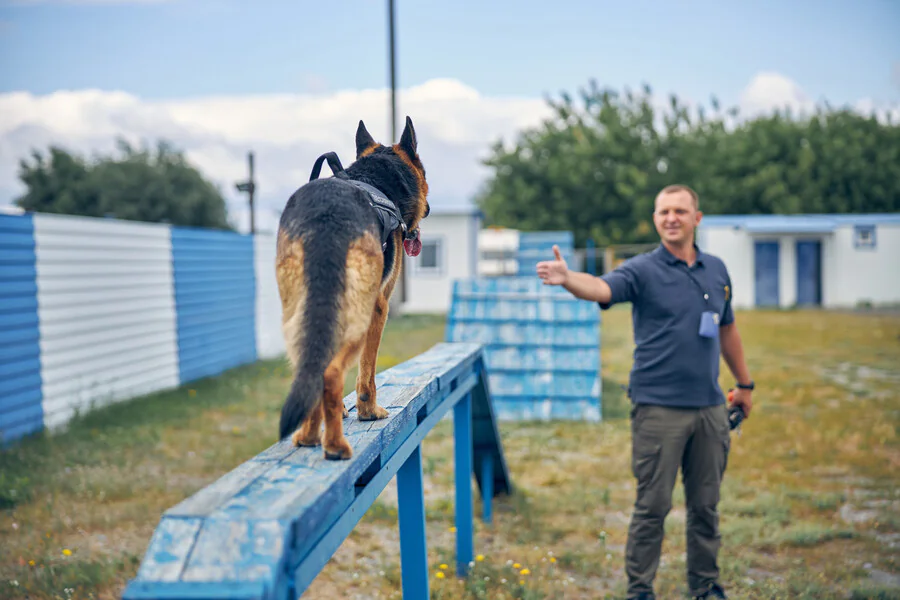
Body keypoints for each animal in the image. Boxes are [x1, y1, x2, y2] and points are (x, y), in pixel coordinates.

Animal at [274, 118, 428, 464]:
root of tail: (325, 215)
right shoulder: (379, 308)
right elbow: (367, 374)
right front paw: (368, 411)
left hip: (299, 315)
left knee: (308, 371)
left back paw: (307, 436)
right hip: (355, 317)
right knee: (330, 373)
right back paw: (334, 445)